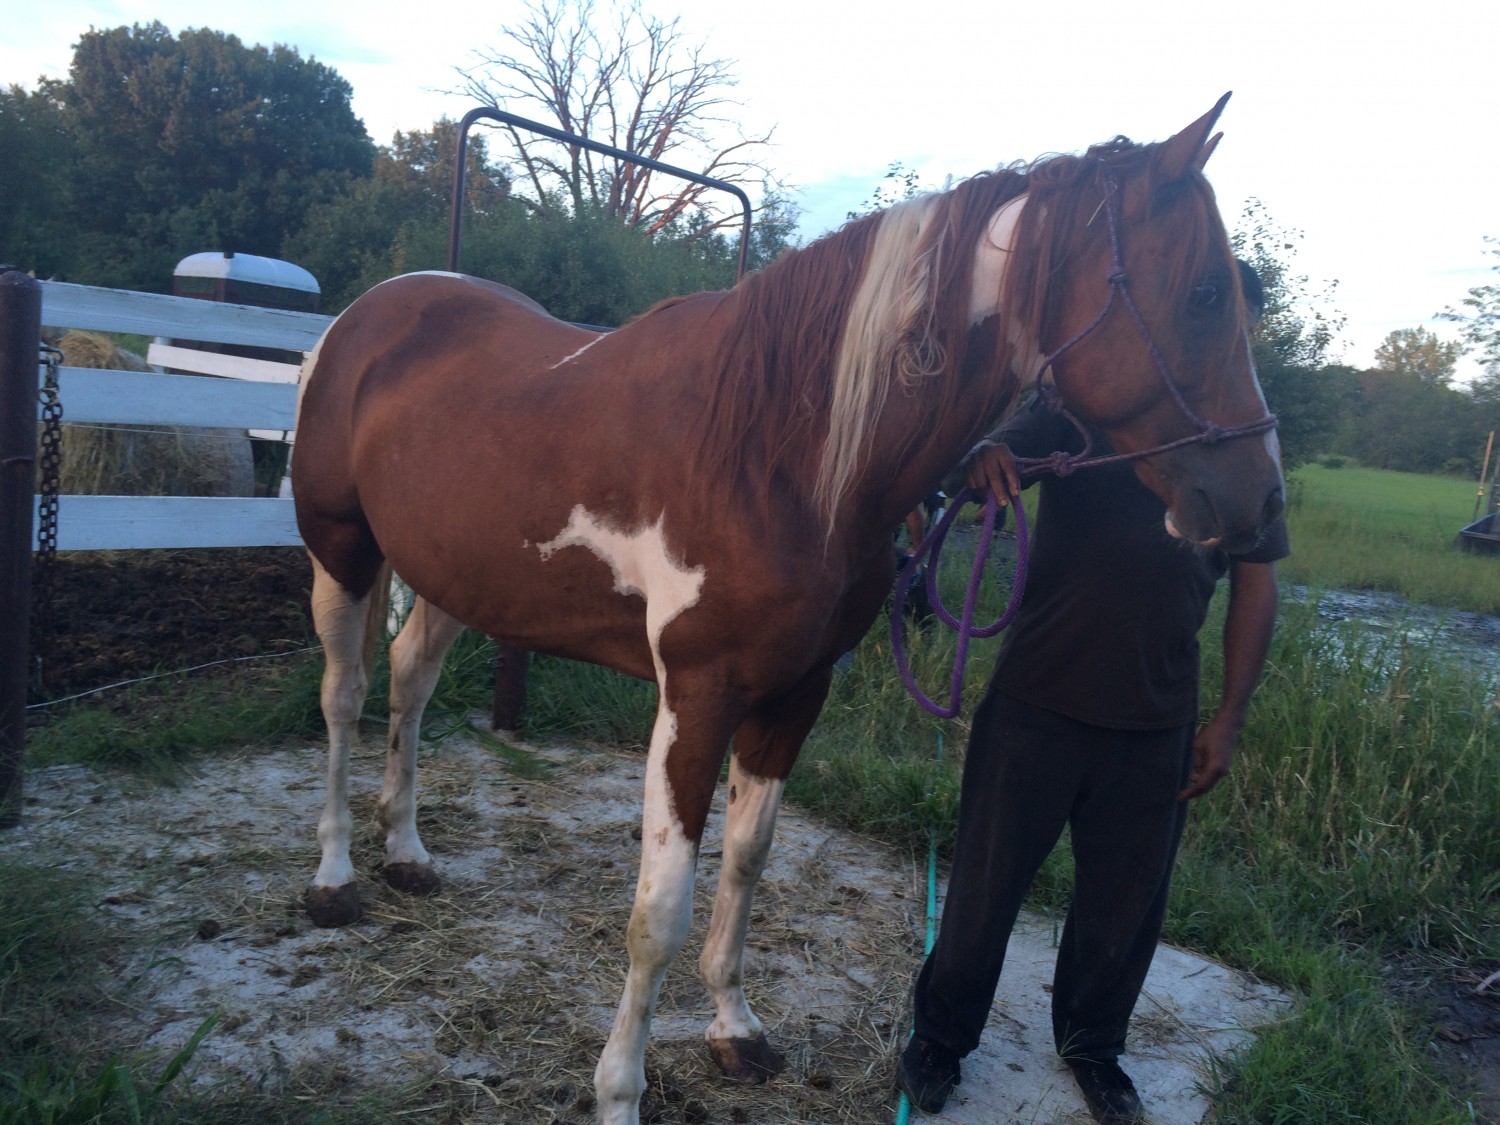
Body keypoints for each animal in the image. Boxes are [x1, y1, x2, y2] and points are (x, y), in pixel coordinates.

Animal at [290, 94, 1282, 1124]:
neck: (780, 448)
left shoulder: (794, 693)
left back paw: (406, 851)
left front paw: (735, 1030)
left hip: (453, 574)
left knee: (410, 681)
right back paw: (336, 877)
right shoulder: (695, 697)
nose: (1262, 506)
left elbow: (748, 861)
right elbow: (660, 910)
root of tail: (370, 313)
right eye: (1206, 293)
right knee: (344, 696)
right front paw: (620, 1090)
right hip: (342, 551)